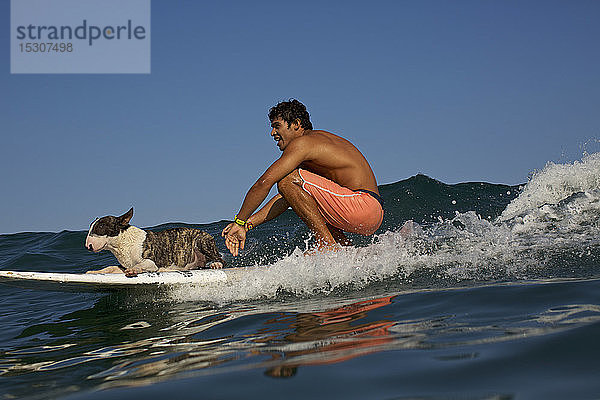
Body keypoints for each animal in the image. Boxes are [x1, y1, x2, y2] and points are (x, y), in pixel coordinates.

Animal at [84, 208, 225, 276]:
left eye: (101, 226)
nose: (87, 246)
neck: (123, 244)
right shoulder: (123, 266)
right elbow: (110, 267)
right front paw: (94, 272)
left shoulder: (151, 262)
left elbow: (139, 265)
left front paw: (133, 270)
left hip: (201, 242)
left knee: (221, 260)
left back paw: (216, 264)